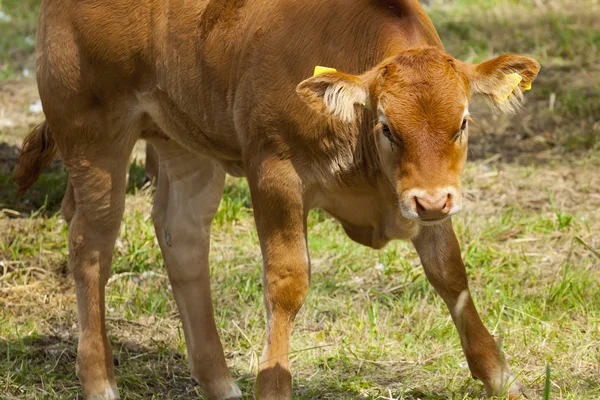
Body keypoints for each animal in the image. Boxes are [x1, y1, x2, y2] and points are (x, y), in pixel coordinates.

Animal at [15, 0, 540, 398]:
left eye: (463, 123)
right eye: (387, 126)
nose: (432, 203)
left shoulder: (425, 195)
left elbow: (449, 271)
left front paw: (498, 375)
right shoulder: (273, 170)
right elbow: (287, 282)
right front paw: (273, 383)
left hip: (184, 140)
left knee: (182, 236)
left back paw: (220, 383)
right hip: (92, 134)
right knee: (91, 247)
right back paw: (100, 381)